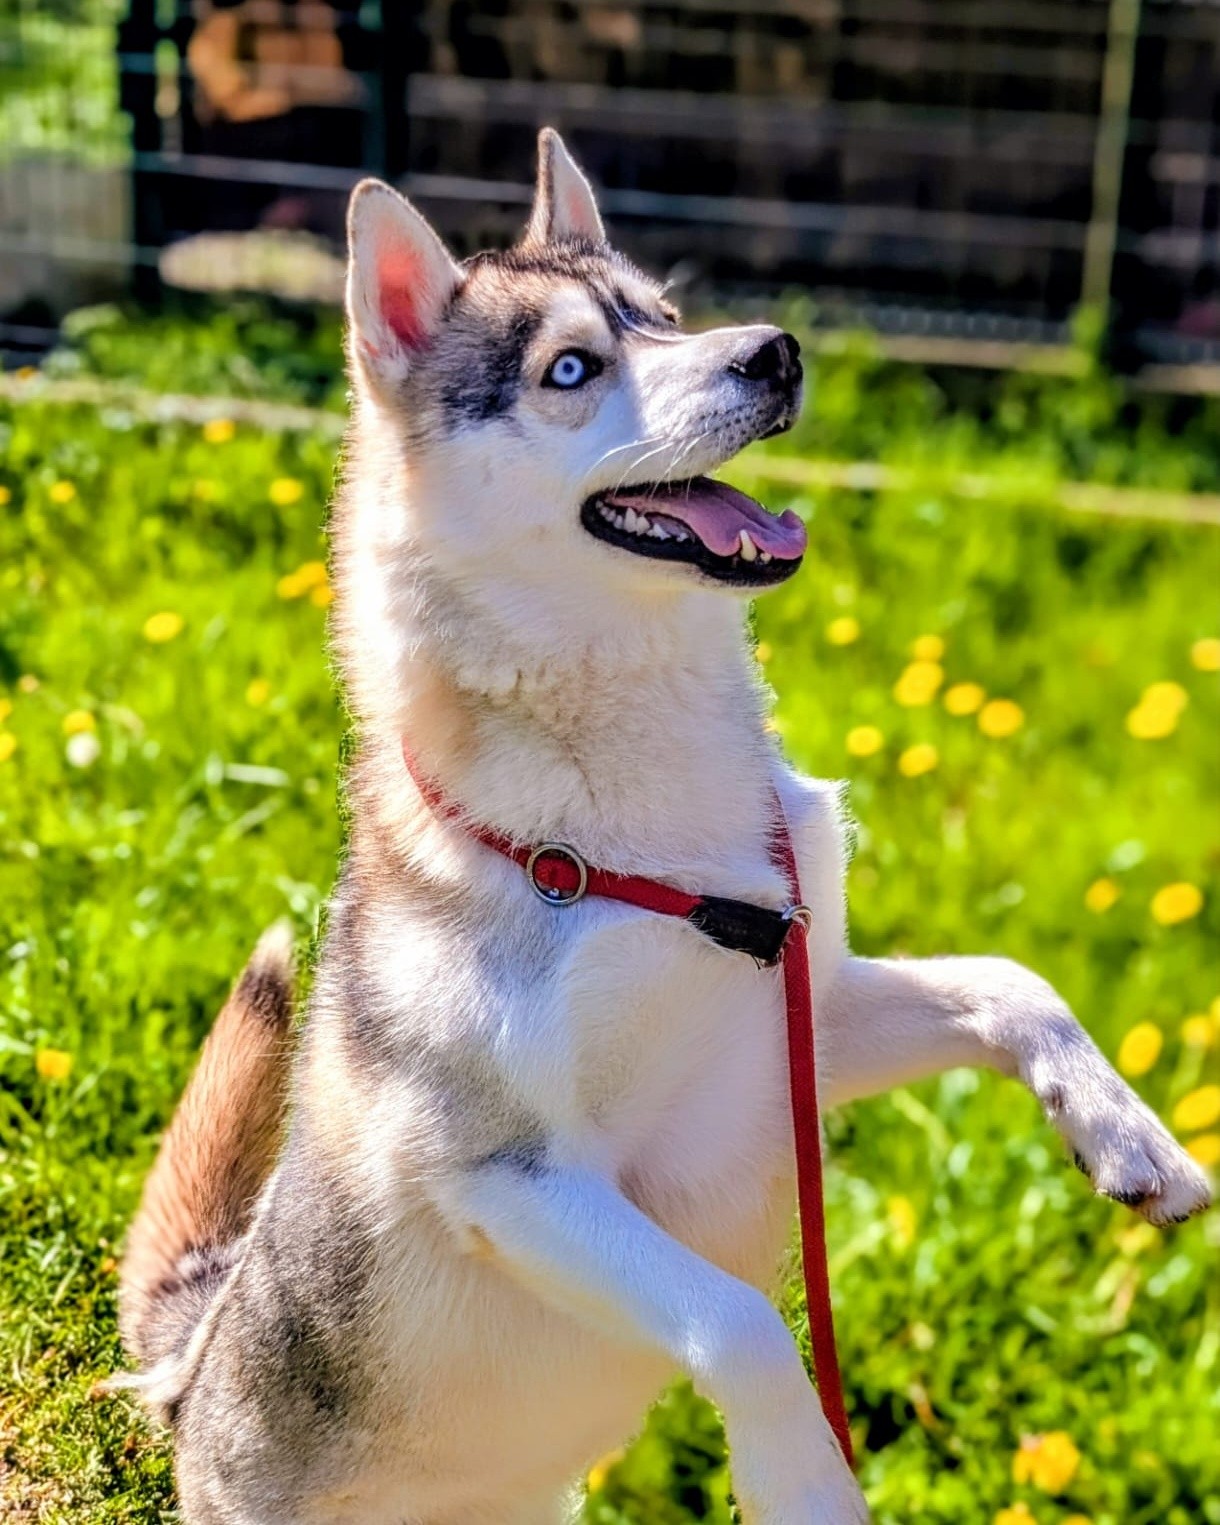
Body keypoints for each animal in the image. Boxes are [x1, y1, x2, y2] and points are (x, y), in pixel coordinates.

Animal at [116, 129, 1210, 1524]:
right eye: (572, 368)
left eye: (666, 317)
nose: (774, 351)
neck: (624, 840)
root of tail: (191, 1367)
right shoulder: (509, 1174)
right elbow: (739, 1319)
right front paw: (803, 1477)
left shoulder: (789, 1022)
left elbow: (1009, 981)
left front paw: (1126, 1136)